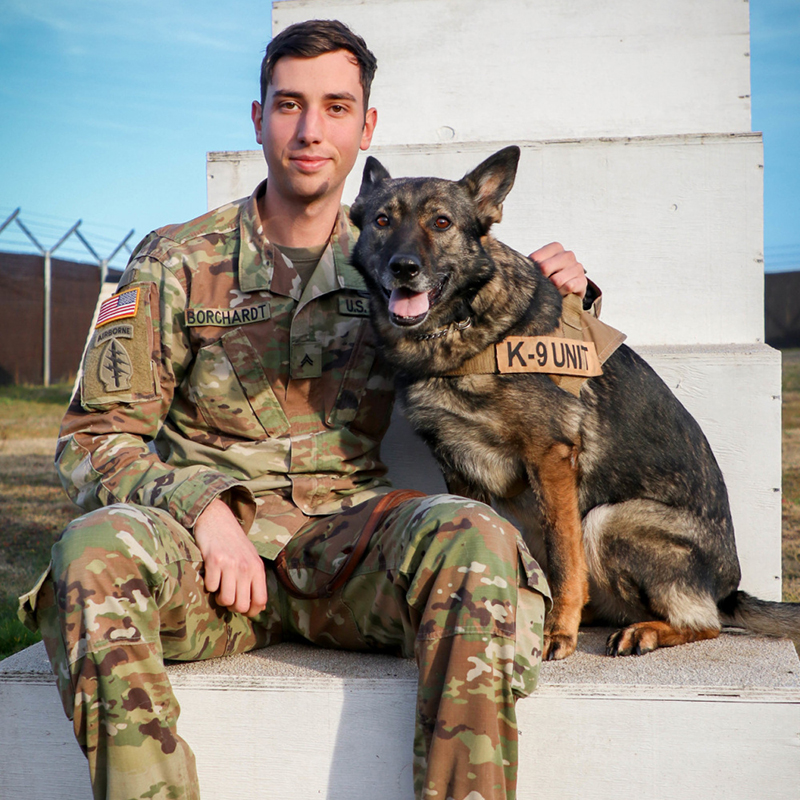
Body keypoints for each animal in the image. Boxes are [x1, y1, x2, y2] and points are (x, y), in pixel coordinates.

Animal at [350, 147, 800, 660]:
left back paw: (646, 630)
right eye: (382, 220)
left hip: (606, 520)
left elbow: (564, 556)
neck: (464, 330)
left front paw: (558, 631)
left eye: (441, 222)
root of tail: (729, 588)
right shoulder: (459, 470)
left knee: (706, 623)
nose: (403, 268)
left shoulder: (551, 460)